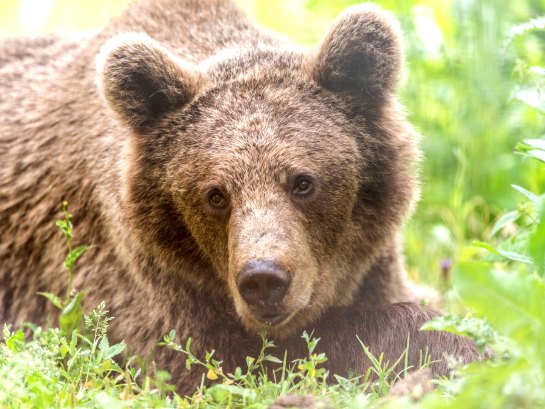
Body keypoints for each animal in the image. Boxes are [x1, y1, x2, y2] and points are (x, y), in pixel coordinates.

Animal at [1, 0, 484, 394]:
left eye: (303, 182)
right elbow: (226, 359)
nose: (263, 279)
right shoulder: (138, 289)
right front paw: (452, 347)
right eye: (215, 194)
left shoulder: (372, 266)